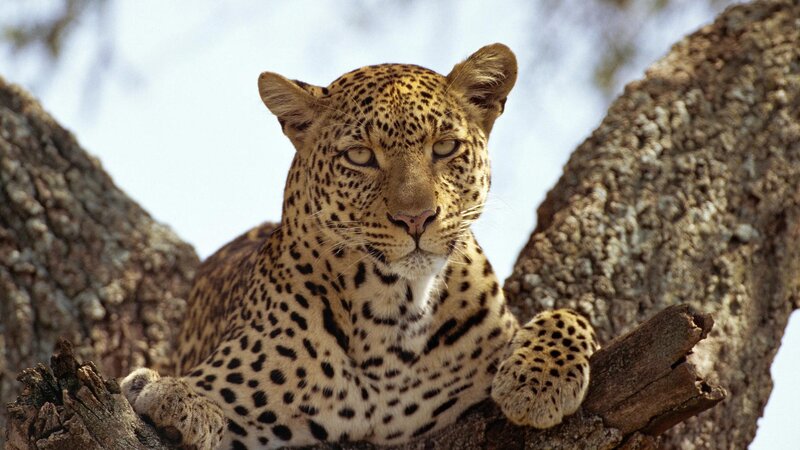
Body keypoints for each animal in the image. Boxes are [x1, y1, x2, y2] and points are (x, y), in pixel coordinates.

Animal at [121, 43, 598, 449]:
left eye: (445, 147)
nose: (416, 218)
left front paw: (537, 383)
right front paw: (172, 397)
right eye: (360, 156)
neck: (394, 310)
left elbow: (570, 315)